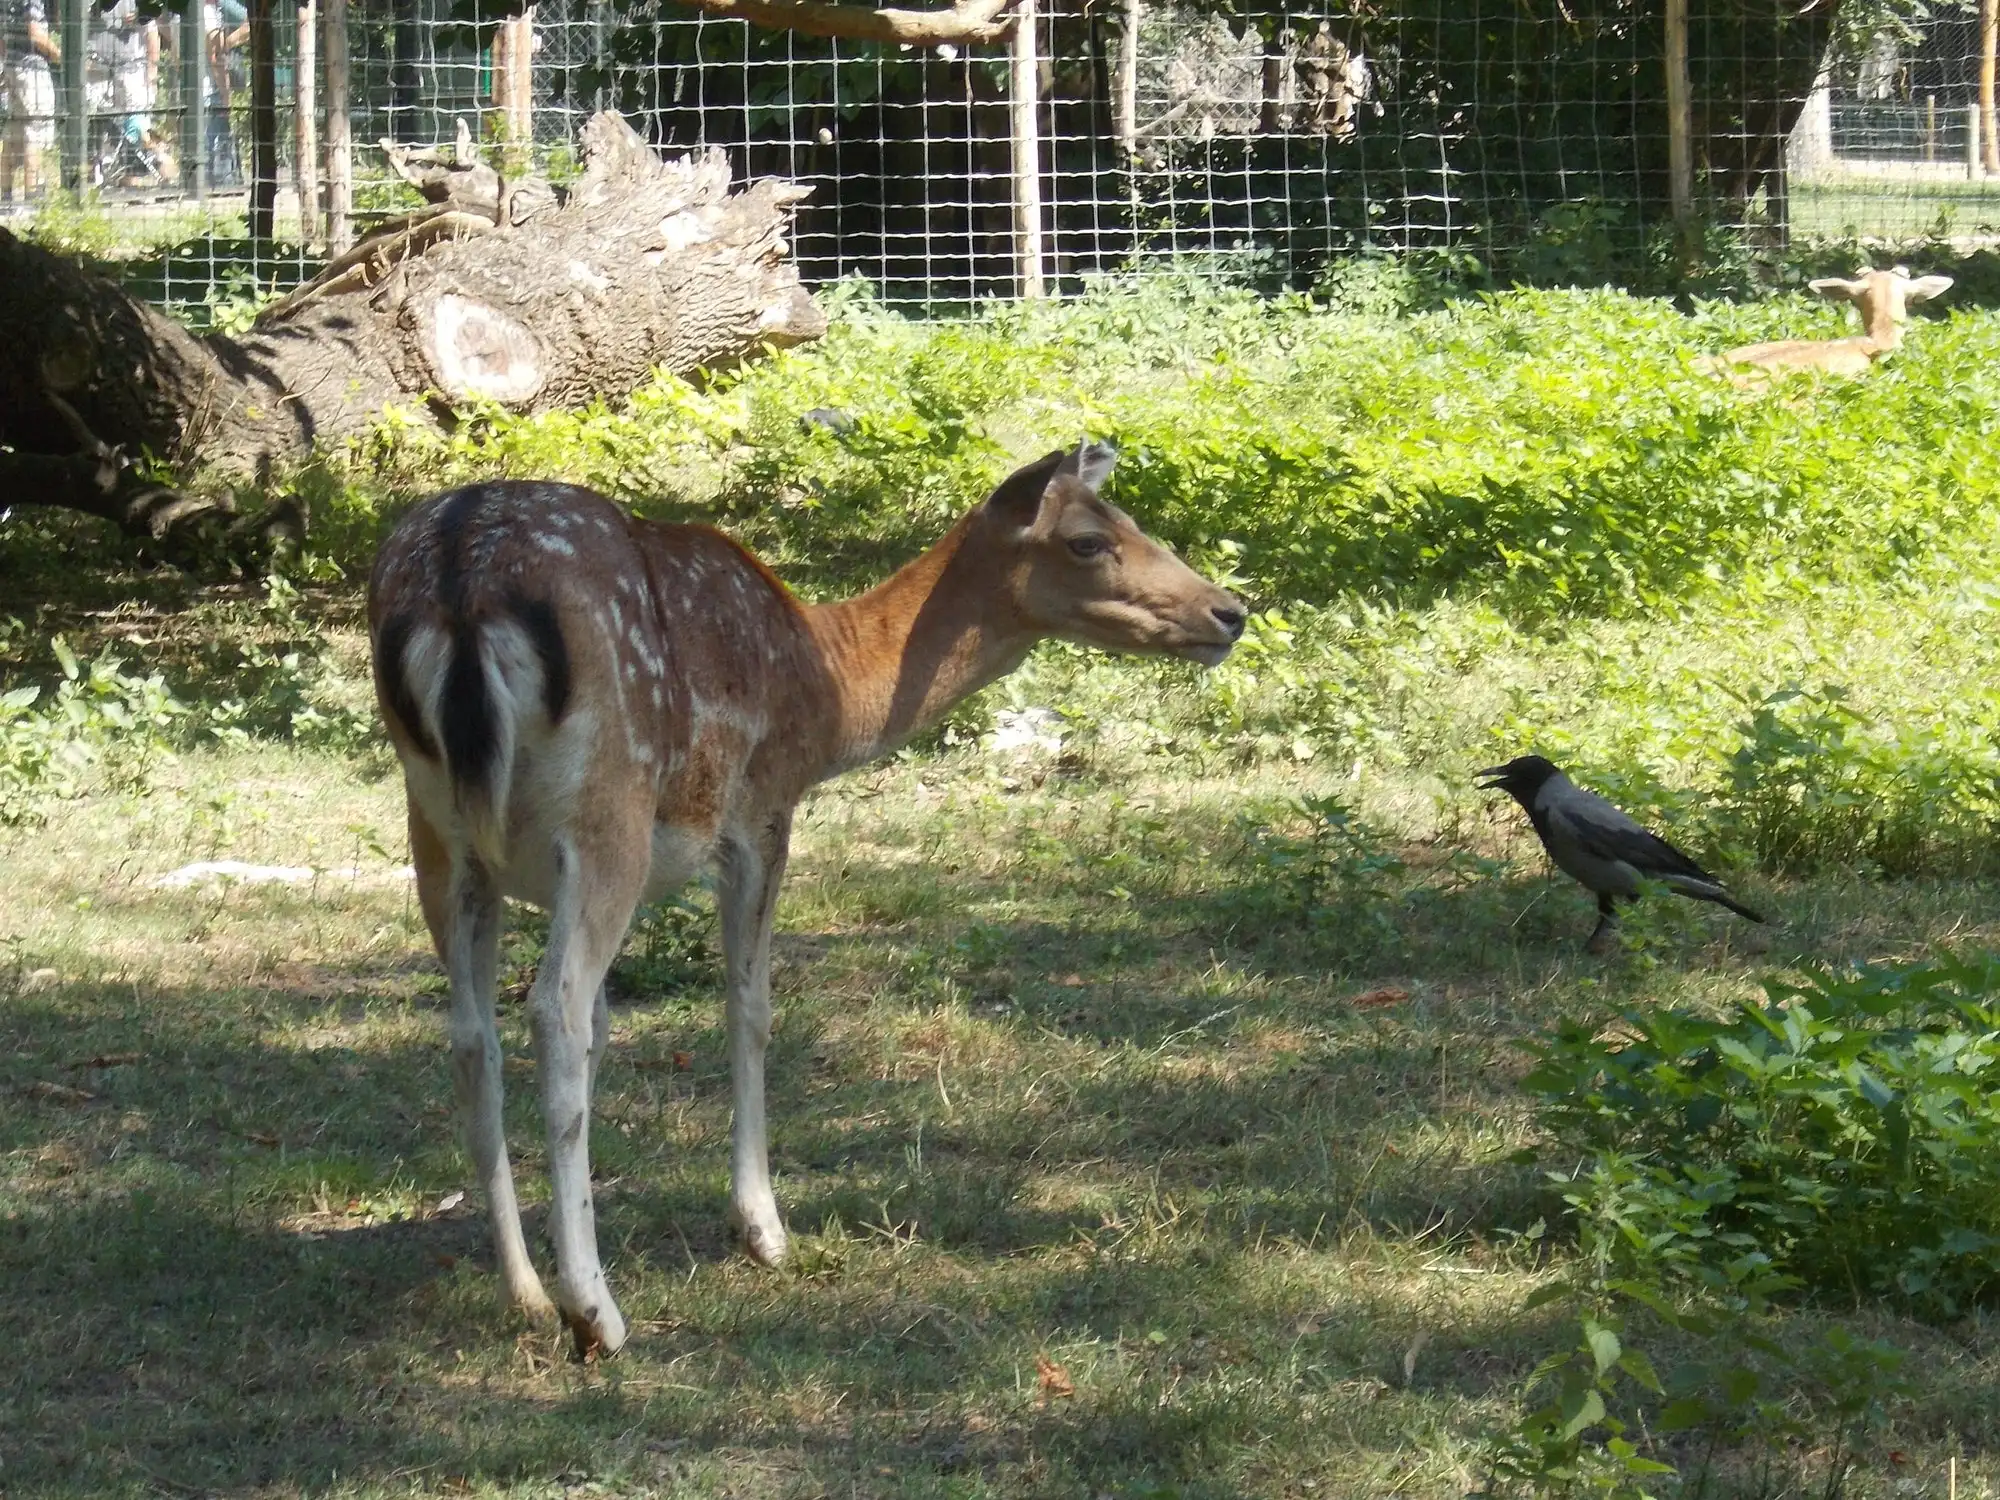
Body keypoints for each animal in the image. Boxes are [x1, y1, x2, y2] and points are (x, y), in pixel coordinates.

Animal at [367, 443, 1245, 1356]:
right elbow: (749, 1008)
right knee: (553, 1010)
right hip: (607, 808)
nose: (1230, 612)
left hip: (439, 833)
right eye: (1085, 540)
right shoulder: (763, 807)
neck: (825, 688)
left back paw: (527, 1293)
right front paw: (763, 1230)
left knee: (473, 1037)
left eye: (1129, 520)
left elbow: (609, 1030)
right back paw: (595, 1313)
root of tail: (460, 586)